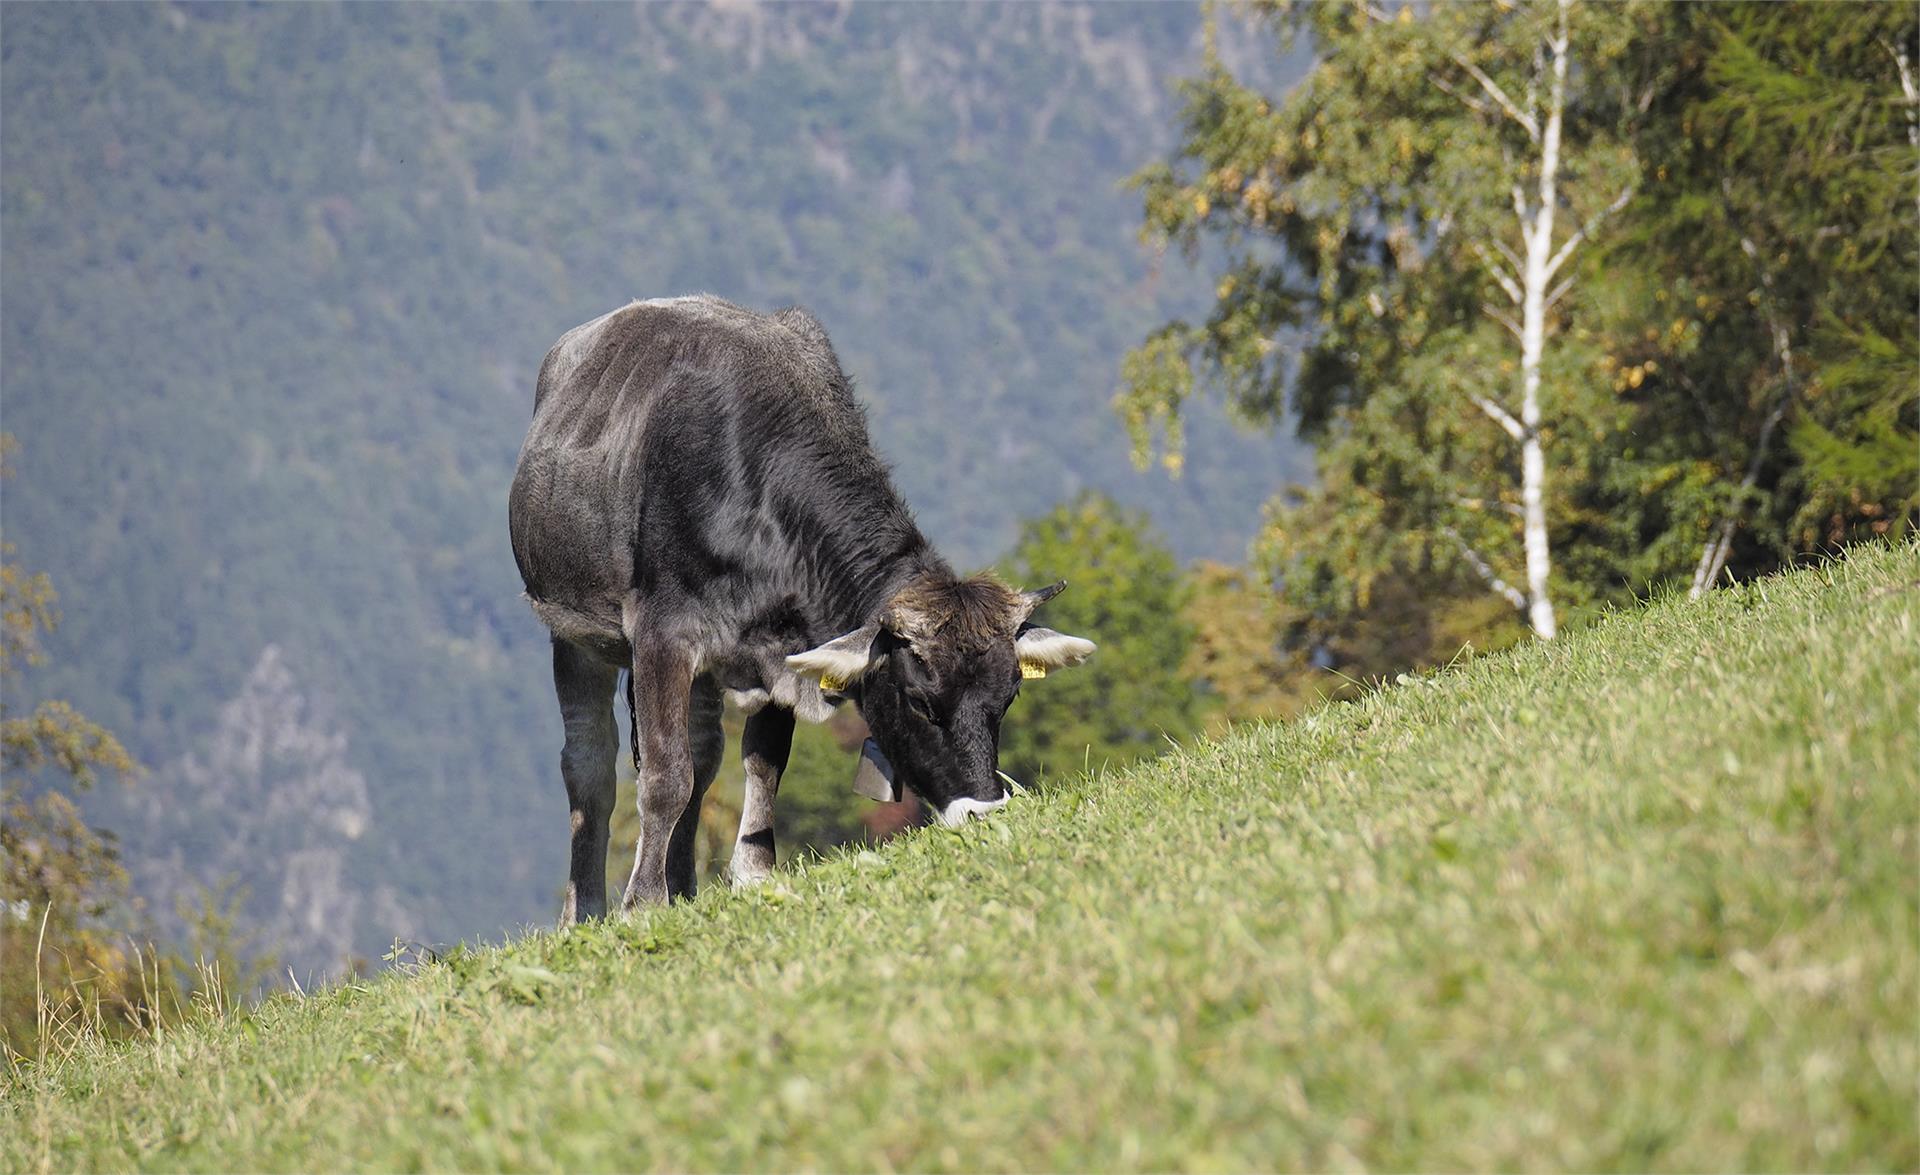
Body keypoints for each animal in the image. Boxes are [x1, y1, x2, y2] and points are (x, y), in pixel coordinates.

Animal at [506, 293, 1098, 917]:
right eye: (918, 701)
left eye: (1007, 699)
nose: (984, 812)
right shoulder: (662, 636)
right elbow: (665, 776)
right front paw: (641, 904)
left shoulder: (780, 645)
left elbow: (761, 762)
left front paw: (753, 874)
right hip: (571, 633)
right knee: (590, 766)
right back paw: (587, 909)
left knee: (705, 753)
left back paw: (684, 887)